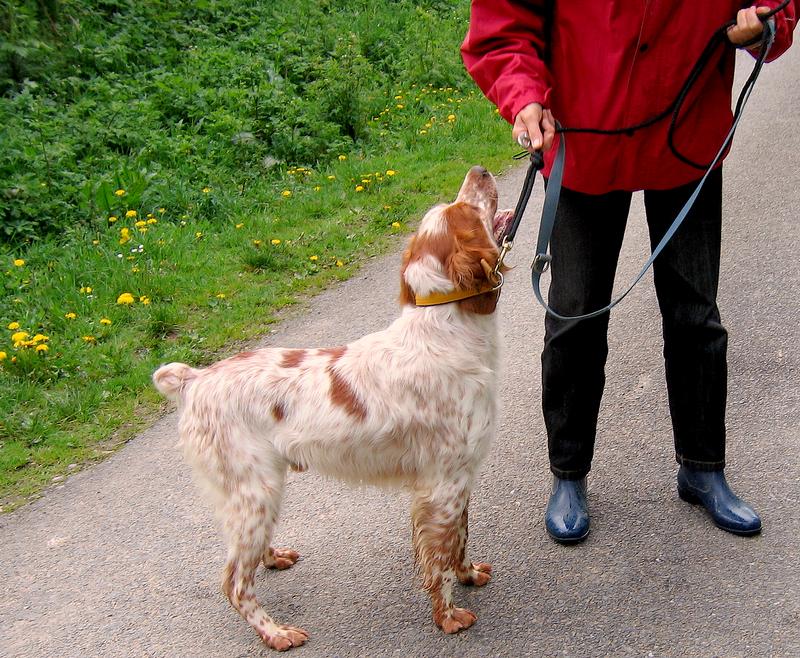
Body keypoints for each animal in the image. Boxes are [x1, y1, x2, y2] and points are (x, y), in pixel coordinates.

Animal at [152, 167, 512, 648]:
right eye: (467, 208)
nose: (480, 171)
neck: (444, 331)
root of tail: (195, 380)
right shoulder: (442, 485)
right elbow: (439, 560)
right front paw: (449, 616)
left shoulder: (459, 479)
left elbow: (459, 541)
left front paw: (469, 575)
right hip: (256, 491)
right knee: (234, 581)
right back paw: (276, 632)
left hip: (255, 496)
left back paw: (273, 557)